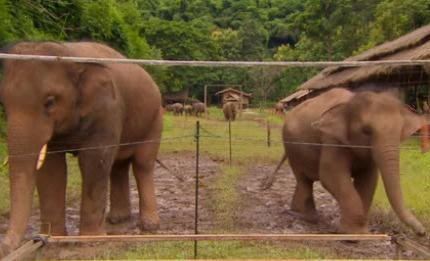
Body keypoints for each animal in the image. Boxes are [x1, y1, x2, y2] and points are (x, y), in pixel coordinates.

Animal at [0, 41, 163, 255]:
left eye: (49, 102)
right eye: (4, 104)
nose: (6, 248)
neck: (70, 56)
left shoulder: (107, 110)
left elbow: (94, 161)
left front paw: (90, 241)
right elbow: (52, 168)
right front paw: (54, 239)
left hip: (154, 119)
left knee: (142, 164)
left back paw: (150, 226)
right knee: (118, 165)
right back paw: (117, 219)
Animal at [262, 88, 426, 235]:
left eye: (400, 132)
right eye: (366, 131)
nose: (422, 232)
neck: (350, 102)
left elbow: (368, 179)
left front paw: (360, 232)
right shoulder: (331, 140)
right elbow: (330, 175)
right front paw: (352, 235)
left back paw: (299, 212)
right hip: (292, 146)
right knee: (303, 180)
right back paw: (308, 217)